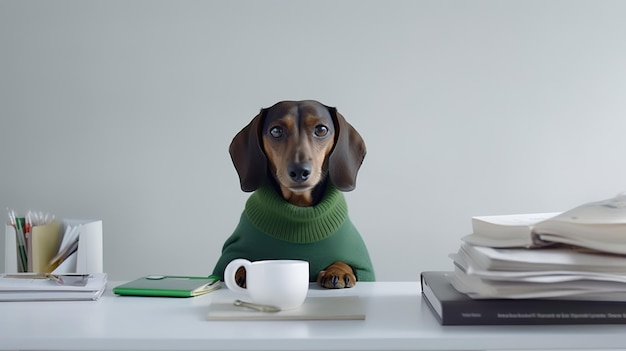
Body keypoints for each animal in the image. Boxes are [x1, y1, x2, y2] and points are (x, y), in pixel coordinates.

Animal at [218, 99, 370, 288]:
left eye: (321, 129)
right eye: (276, 131)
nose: (299, 171)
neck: (299, 209)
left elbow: (345, 262)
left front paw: (338, 271)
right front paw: (245, 272)